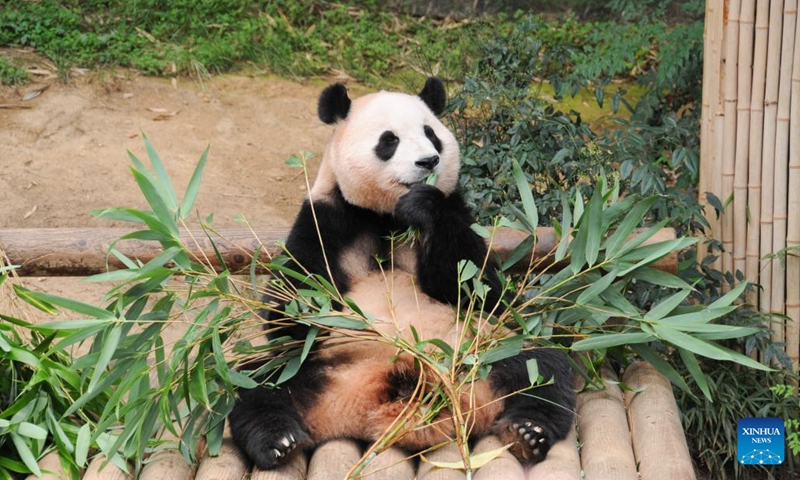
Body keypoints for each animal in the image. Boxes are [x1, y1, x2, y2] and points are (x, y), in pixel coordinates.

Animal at [229, 77, 576, 471]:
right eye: (389, 140)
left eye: (431, 134)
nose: (429, 161)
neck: (387, 215)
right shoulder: (325, 217)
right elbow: (288, 313)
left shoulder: (456, 210)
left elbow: (478, 286)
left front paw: (424, 203)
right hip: (319, 364)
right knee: (257, 382)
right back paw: (278, 440)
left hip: (484, 352)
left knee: (540, 367)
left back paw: (527, 433)